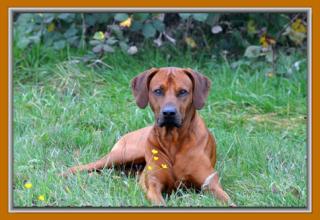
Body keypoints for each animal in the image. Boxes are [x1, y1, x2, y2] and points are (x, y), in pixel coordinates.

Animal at [64, 67, 235, 206]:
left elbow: (229, 201)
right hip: (122, 155)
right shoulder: (154, 185)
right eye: (158, 91)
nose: (169, 113)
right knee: (83, 167)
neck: (173, 140)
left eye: (183, 91)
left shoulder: (210, 184)